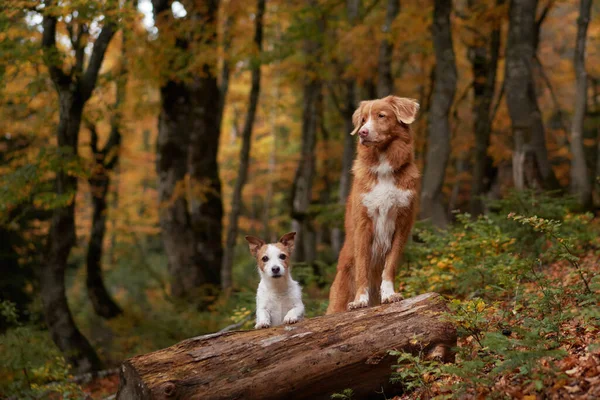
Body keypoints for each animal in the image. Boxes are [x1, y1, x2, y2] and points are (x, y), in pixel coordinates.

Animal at [326, 95, 420, 314]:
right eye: (363, 120)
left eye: (381, 116)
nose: (362, 132)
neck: (384, 166)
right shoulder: (363, 224)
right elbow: (362, 266)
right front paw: (360, 300)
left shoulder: (402, 223)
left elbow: (390, 265)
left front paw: (389, 294)